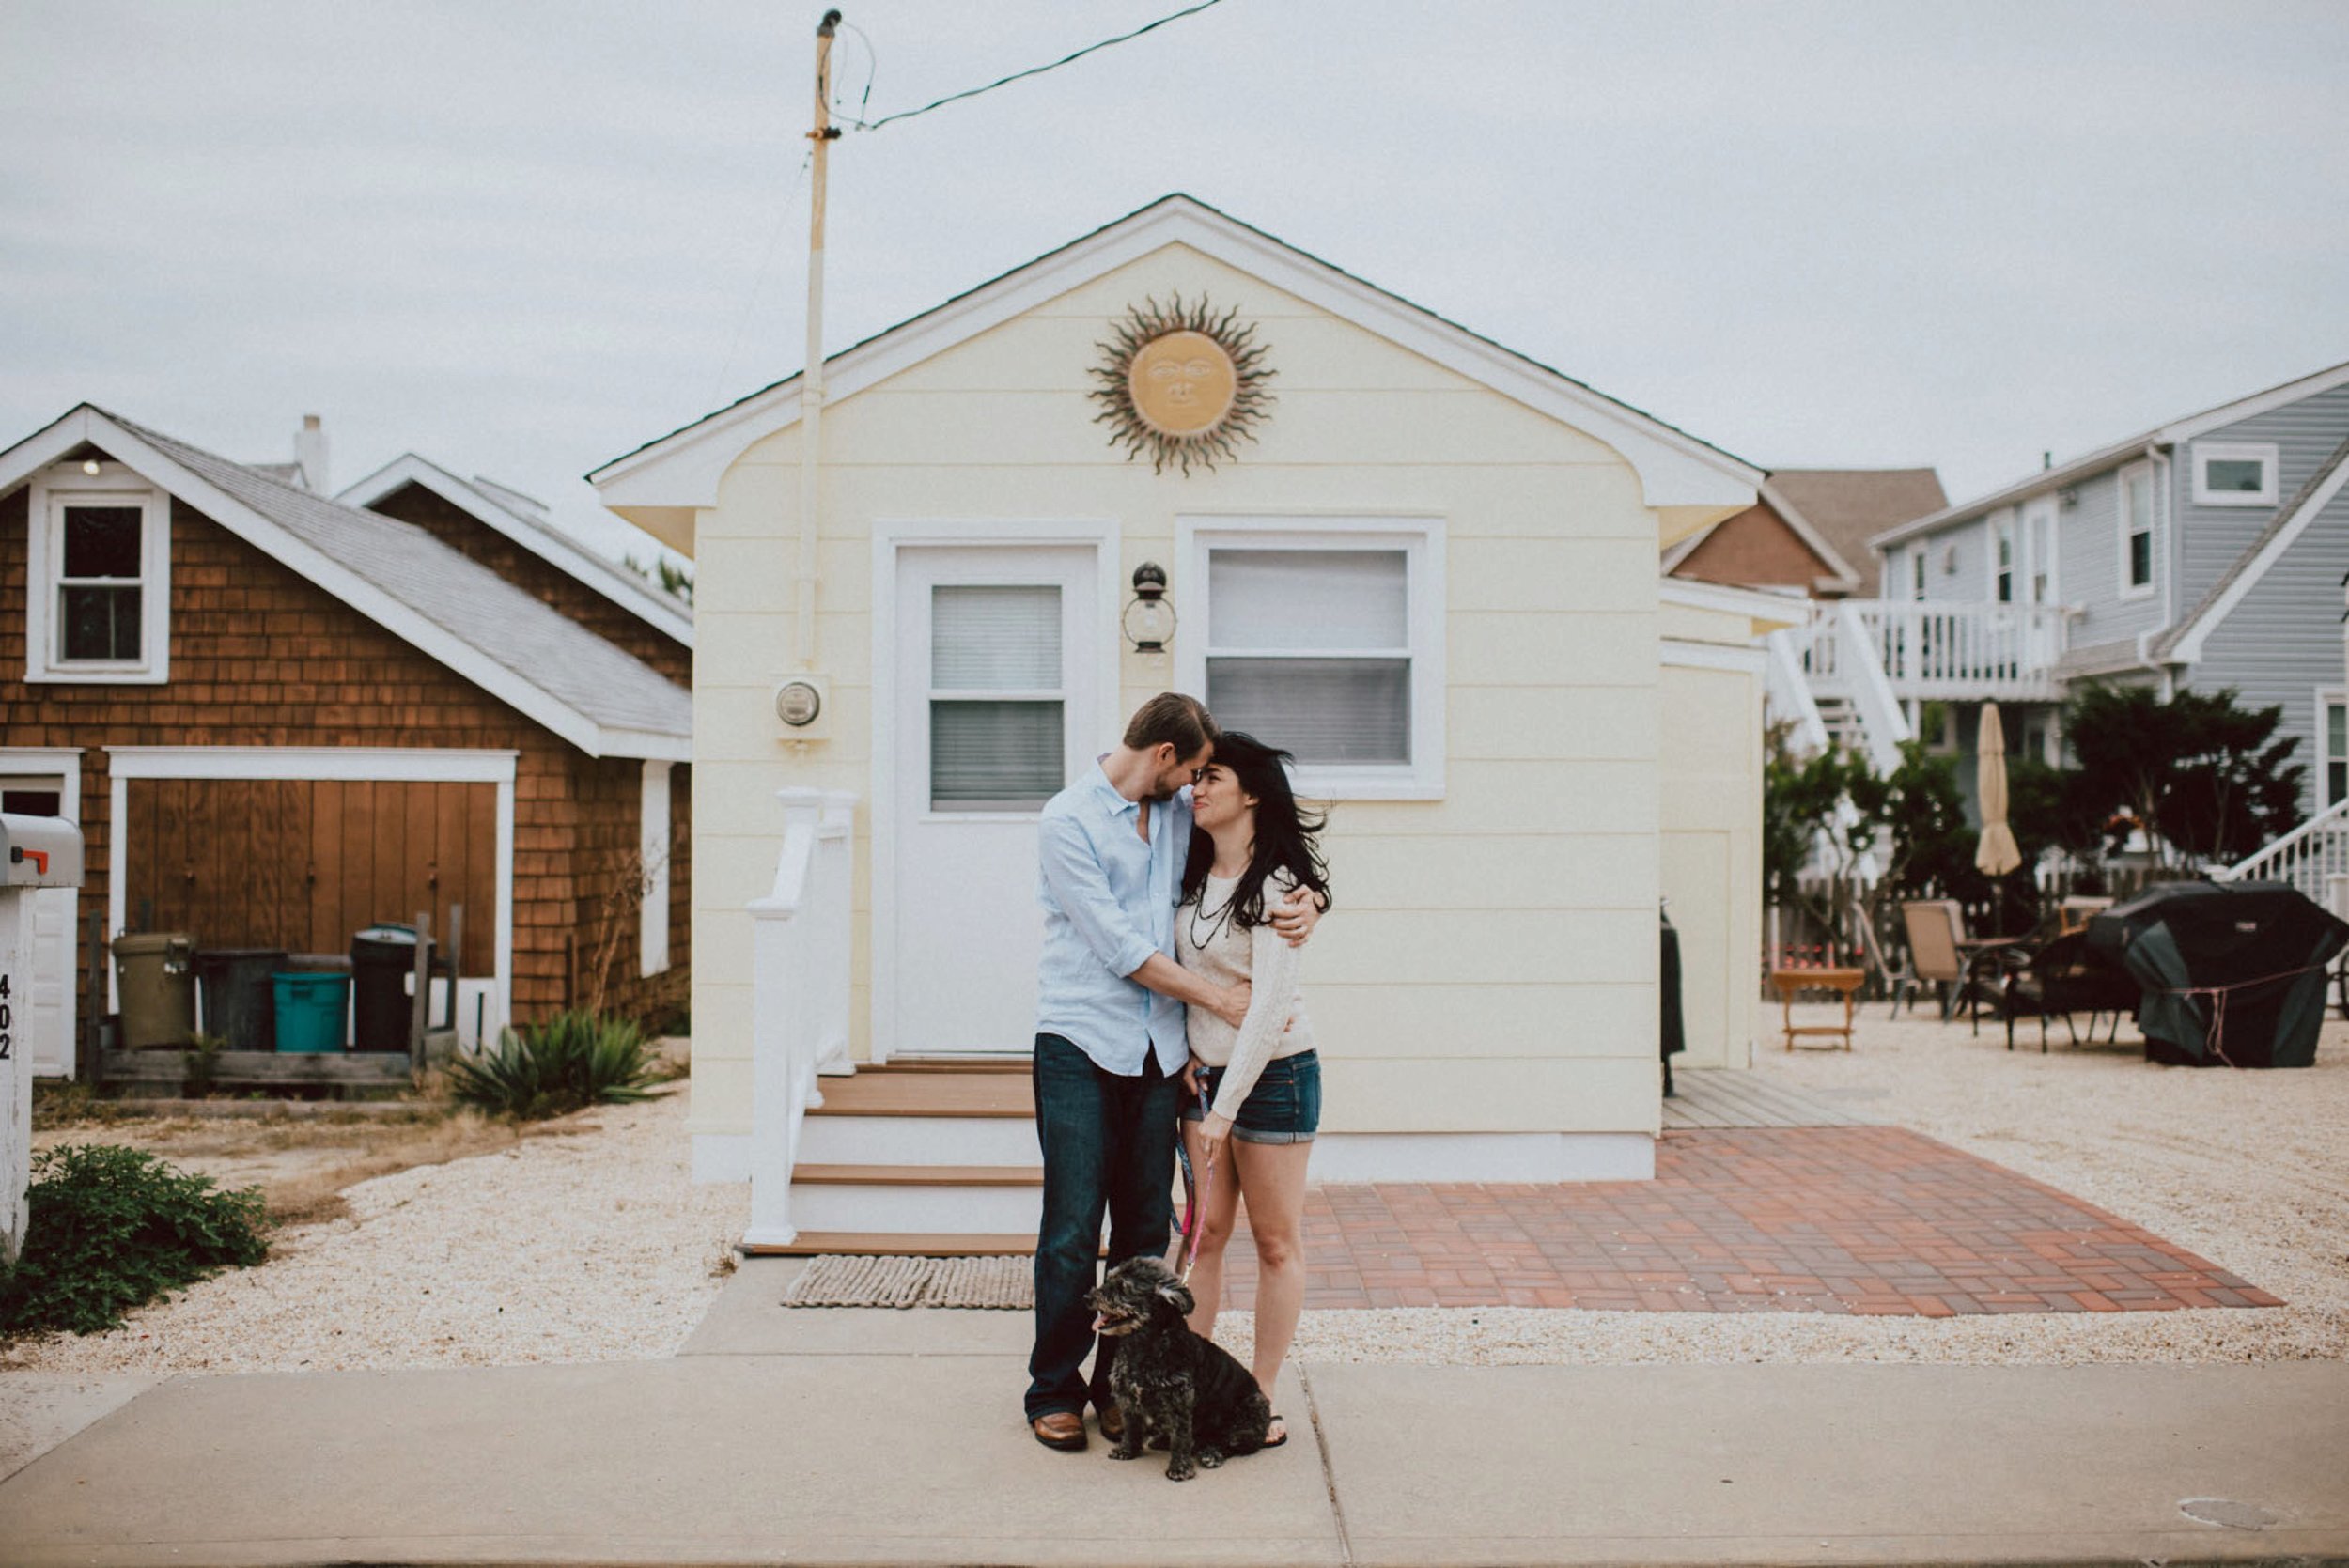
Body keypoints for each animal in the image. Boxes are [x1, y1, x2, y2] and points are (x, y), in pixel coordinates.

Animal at [1081, 1249, 1268, 1483]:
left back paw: (1212, 1453)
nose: (1087, 1298)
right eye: (1109, 1279)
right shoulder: (1127, 1398)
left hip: (1251, 1411)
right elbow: (1131, 1427)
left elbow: (1181, 1438)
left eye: (1123, 1287)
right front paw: (1127, 1450)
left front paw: (1179, 1468)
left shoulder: (1180, 1400)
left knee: (1232, 1443)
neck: (1145, 1344)